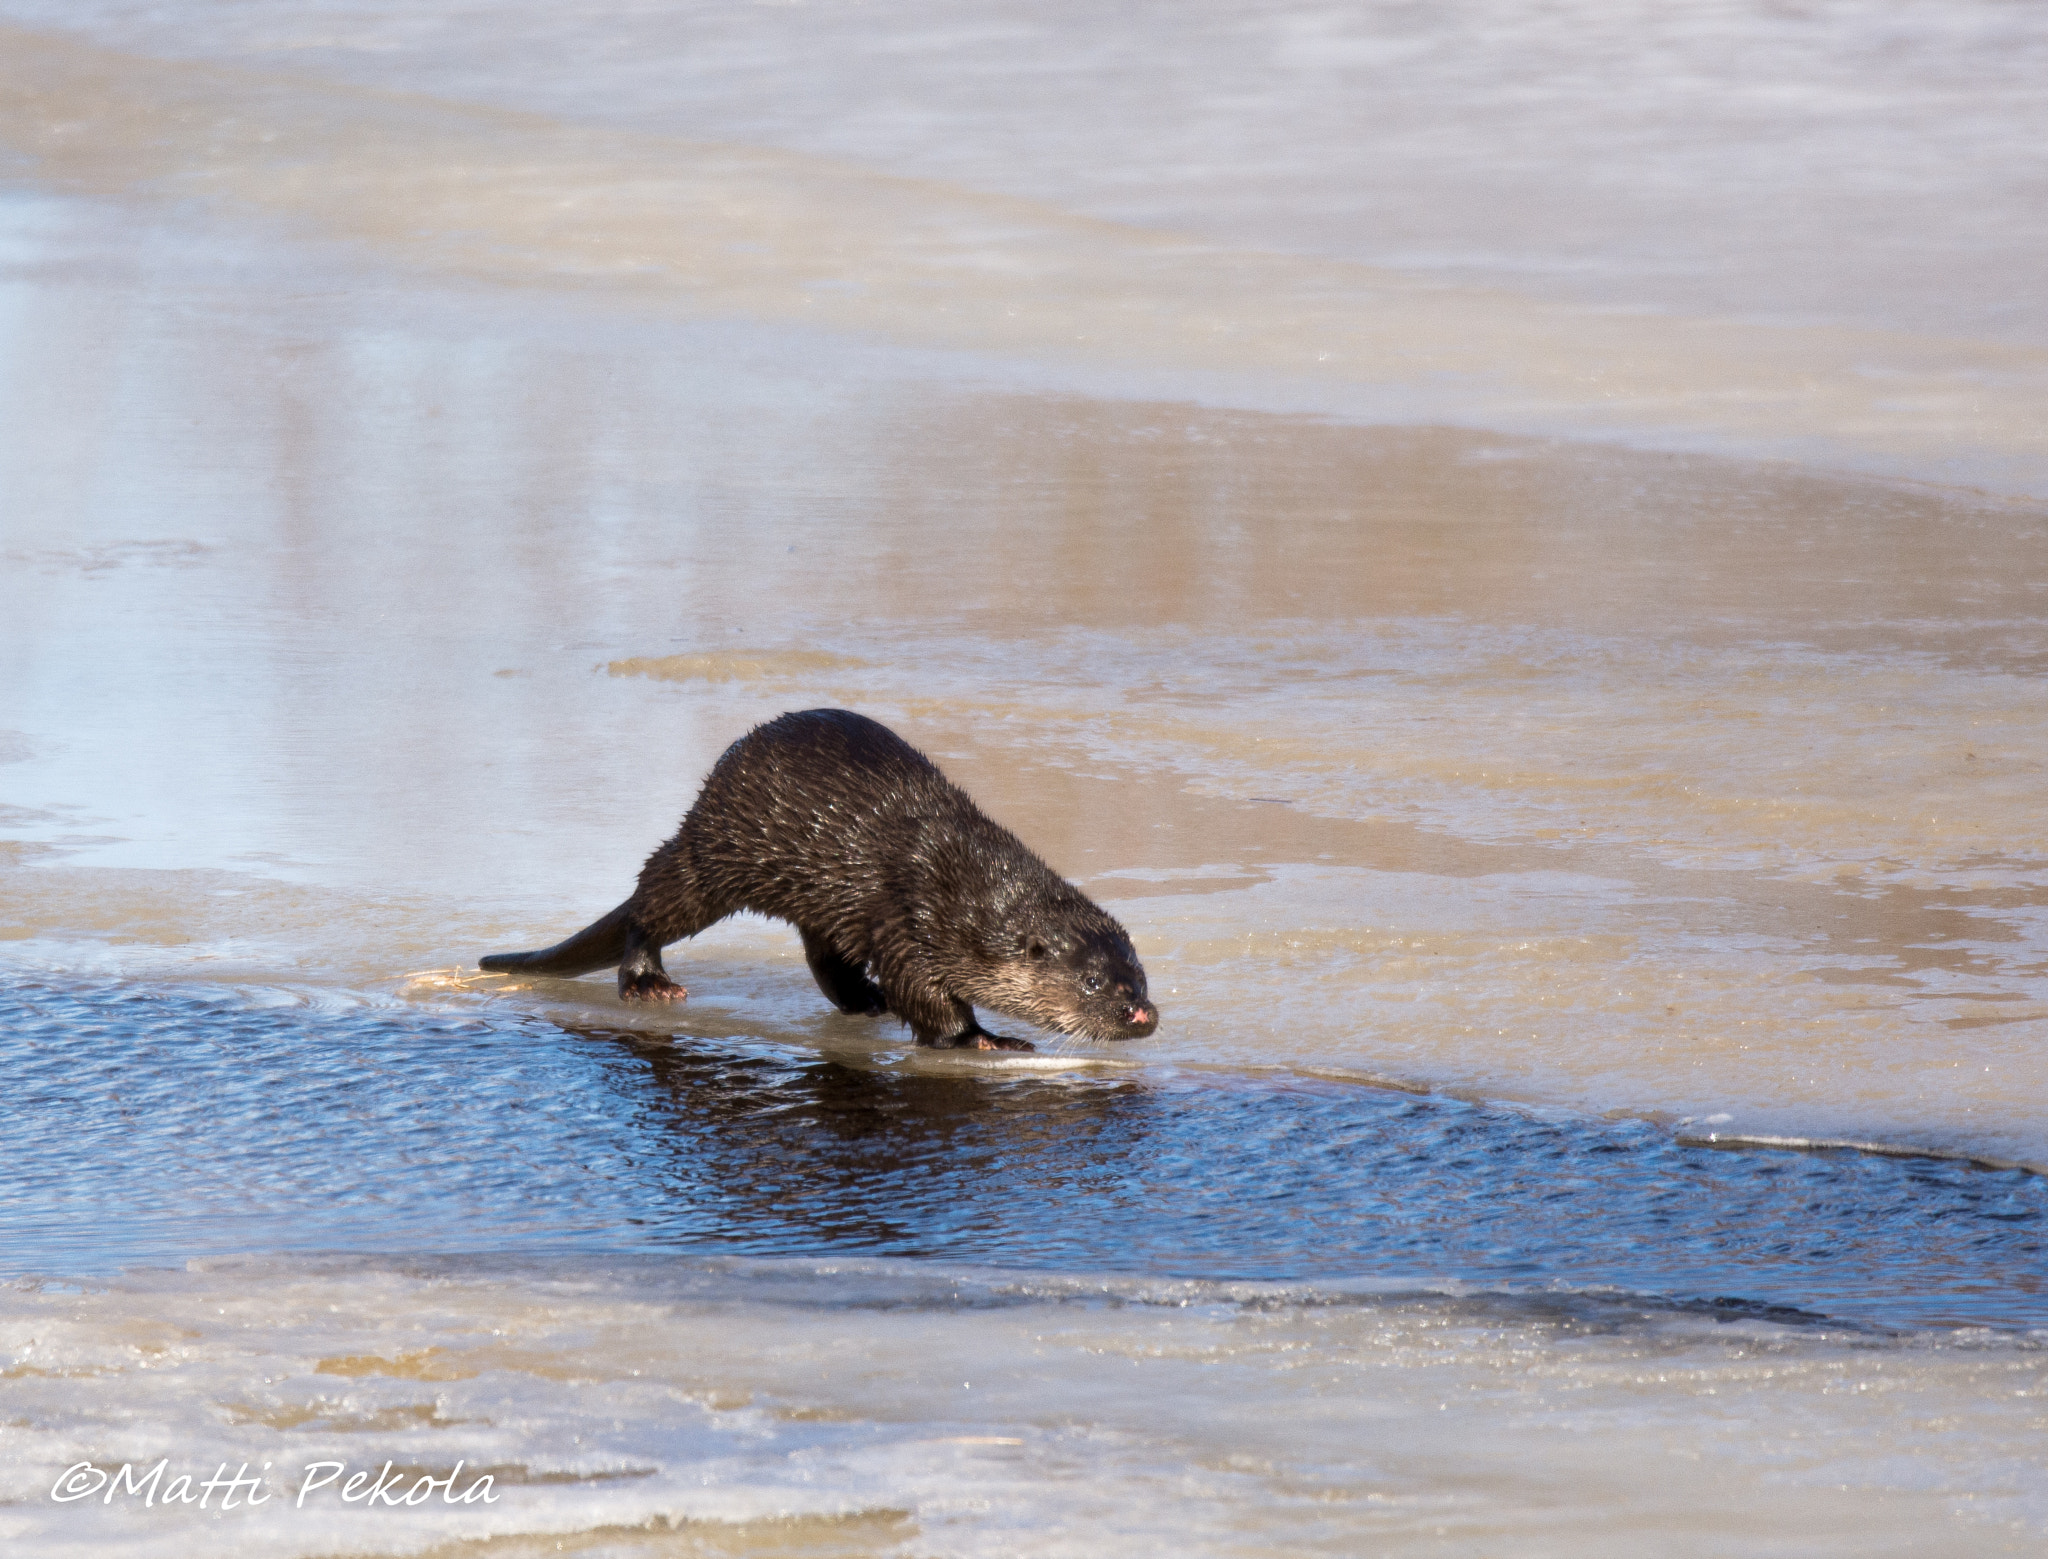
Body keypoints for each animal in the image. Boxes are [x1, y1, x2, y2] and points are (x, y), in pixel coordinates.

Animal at [471, 708, 1163, 1048]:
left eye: (1140, 976)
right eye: (1094, 981)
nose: (1143, 1015)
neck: (964, 893)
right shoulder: (909, 922)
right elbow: (926, 996)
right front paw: (982, 1041)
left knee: (820, 950)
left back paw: (864, 999)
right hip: (716, 854)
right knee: (651, 903)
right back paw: (648, 983)